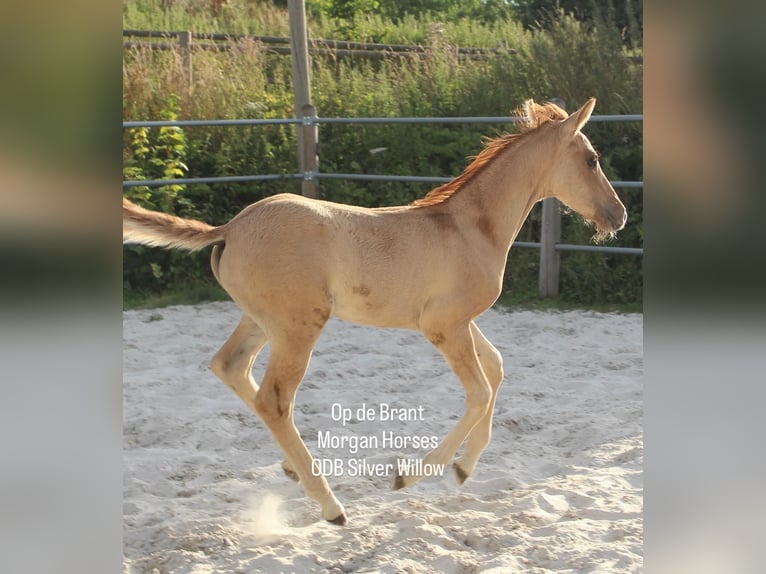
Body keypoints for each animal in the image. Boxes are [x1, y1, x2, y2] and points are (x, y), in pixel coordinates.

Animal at [123, 98, 626, 525]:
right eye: (592, 159)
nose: (618, 215)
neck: (469, 228)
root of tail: (229, 228)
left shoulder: (459, 322)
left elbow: (497, 369)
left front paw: (463, 469)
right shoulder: (443, 326)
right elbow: (480, 391)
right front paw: (412, 475)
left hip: (262, 321)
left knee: (230, 366)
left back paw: (294, 471)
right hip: (298, 326)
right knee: (274, 399)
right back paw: (330, 506)